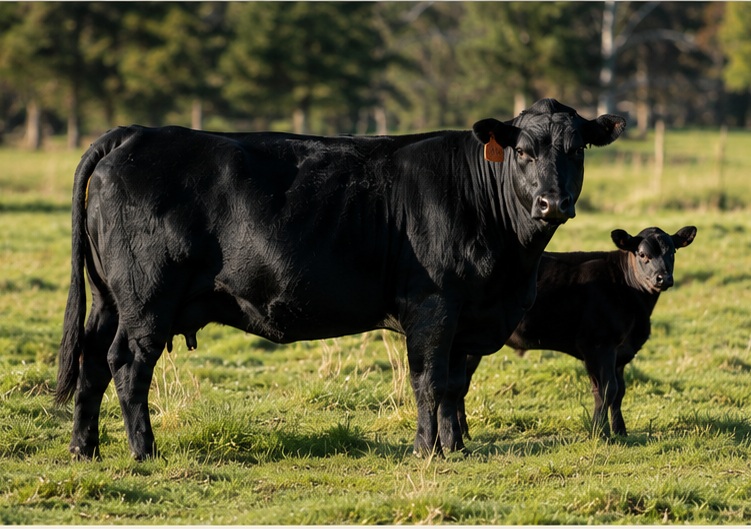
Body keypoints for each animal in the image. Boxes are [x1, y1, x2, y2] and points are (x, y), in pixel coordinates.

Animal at [55, 98, 625, 460]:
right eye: (523, 151)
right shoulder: (434, 305)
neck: (510, 266)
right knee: (128, 365)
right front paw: (426, 451)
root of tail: (135, 133)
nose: (552, 202)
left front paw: (457, 446)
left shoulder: (471, 317)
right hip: (146, 299)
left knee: (91, 362)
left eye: (576, 149)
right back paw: (144, 451)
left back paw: (86, 449)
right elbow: (429, 381)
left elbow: (455, 386)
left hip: (109, 299)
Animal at [458, 225, 697, 439]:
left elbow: (619, 391)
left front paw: (620, 431)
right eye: (642, 254)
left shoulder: (620, 351)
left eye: (672, 252)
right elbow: (606, 390)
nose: (663, 278)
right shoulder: (597, 345)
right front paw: (600, 433)